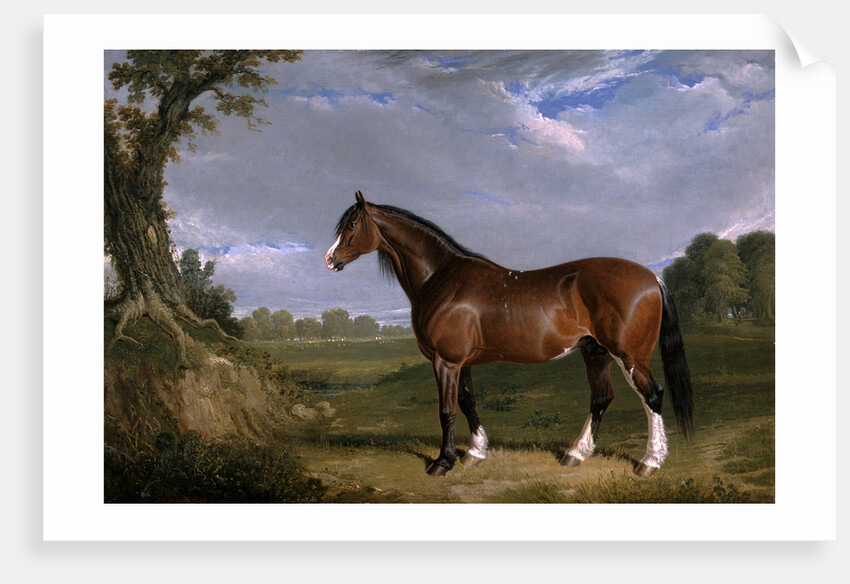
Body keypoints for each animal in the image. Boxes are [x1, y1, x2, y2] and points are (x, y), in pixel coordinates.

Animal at [325, 191, 694, 477]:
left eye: (352, 225)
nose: (329, 259)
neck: (442, 279)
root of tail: (652, 277)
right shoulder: (462, 363)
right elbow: (467, 402)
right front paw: (475, 453)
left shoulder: (446, 361)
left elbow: (446, 410)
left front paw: (443, 463)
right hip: (596, 352)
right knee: (602, 398)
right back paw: (575, 454)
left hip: (629, 356)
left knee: (652, 396)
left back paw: (649, 463)